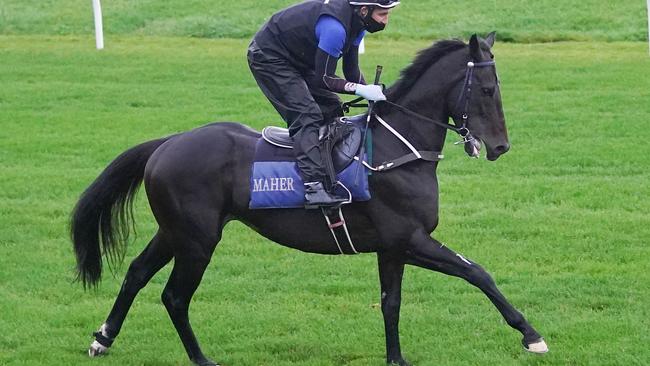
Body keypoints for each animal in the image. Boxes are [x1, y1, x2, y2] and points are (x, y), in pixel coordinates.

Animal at [71, 33, 548, 364]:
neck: (397, 149)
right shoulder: (409, 238)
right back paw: (200, 358)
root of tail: (168, 143)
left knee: (136, 272)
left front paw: (395, 357)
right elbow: (477, 272)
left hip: (176, 232)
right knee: (174, 296)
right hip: (197, 240)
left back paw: (102, 338)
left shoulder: (393, 247)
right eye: (487, 89)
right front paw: (532, 335)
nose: (500, 146)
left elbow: (392, 303)